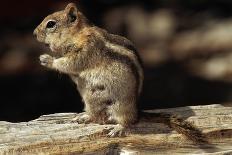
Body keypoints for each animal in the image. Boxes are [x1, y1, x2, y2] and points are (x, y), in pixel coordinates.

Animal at [34, 2, 205, 141]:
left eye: (51, 24)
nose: (35, 34)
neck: (77, 34)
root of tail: (137, 111)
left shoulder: (88, 48)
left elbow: (71, 63)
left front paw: (47, 59)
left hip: (121, 105)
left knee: (127, 121)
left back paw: (119, 128)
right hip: (90, 98)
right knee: (94, 115)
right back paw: (83, 117)